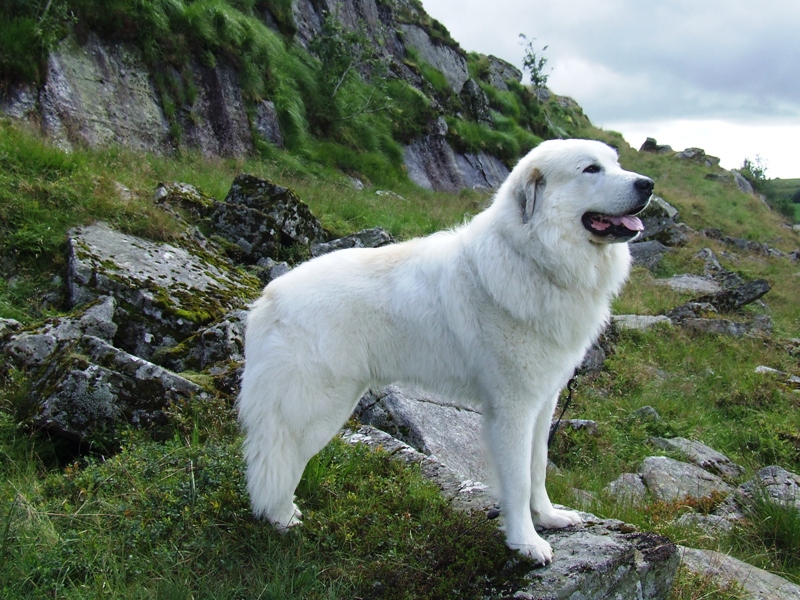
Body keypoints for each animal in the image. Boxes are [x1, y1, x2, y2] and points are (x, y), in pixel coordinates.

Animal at [236, 138, 648, 564]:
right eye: (590, 169)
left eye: (616, 163)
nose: (647, 185)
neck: (532, 256)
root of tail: (267, 298)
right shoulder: (513, 408)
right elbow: (517, 481)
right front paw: (526, 543)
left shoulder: (543, 402)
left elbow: (538, 467)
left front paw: (547, 517)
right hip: (317, 409)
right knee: (279, 460)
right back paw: (281, 517)